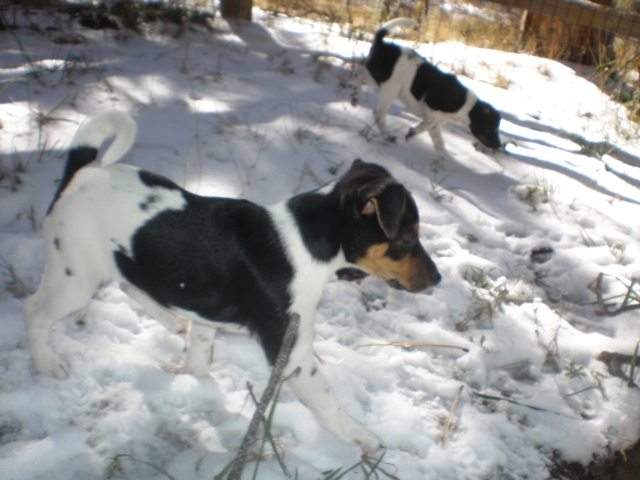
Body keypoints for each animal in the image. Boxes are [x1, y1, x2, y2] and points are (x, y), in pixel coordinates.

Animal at [23, 111, 440, 454]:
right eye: (407, 238)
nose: (437, 278)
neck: (307, 242)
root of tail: (81, 170)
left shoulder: (206, 311)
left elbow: (198, 351)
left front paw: (199, 380)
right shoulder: (293, 351)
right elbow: (328, 401)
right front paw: (361, 436)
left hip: (118, 263)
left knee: (130, 284)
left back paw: (170, 318)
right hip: (75, 276)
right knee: (34, 310)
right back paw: (47, 363)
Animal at [350, 16, 500, 155]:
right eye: (489, 128)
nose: (498, 146)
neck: (467, 107)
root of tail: (382, 44)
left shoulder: (436, 125)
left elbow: (439, 144)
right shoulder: (431, 110)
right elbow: (428, 125)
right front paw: (412, 133)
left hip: (378, 78)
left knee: (358, 73)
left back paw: (355, 97)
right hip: (391, 87)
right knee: (378, 112)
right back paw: (388, 135)